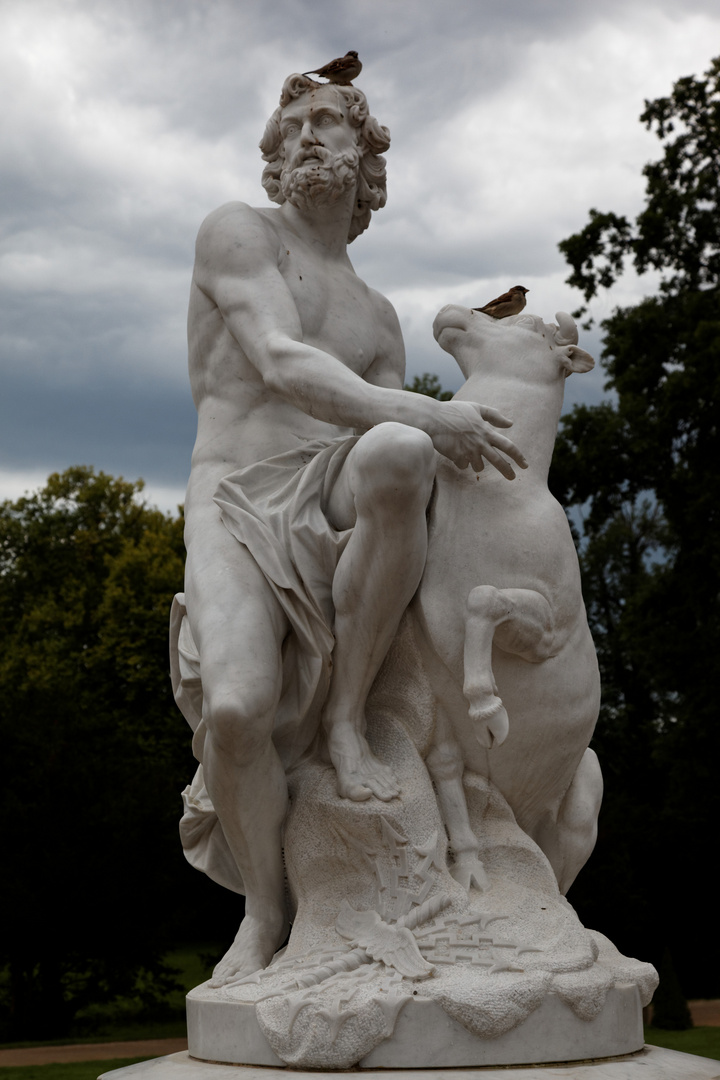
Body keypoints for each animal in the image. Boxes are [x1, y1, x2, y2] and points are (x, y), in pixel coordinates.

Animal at [410, 304, 604, 894]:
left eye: (530, 328)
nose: (451, 312)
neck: (491, 494)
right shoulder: (439, 712)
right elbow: (449, 779)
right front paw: (472, 876)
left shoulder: (547, 629)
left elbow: (483, 597)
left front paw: (490, 709)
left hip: (582, 800)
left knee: (560, 880)